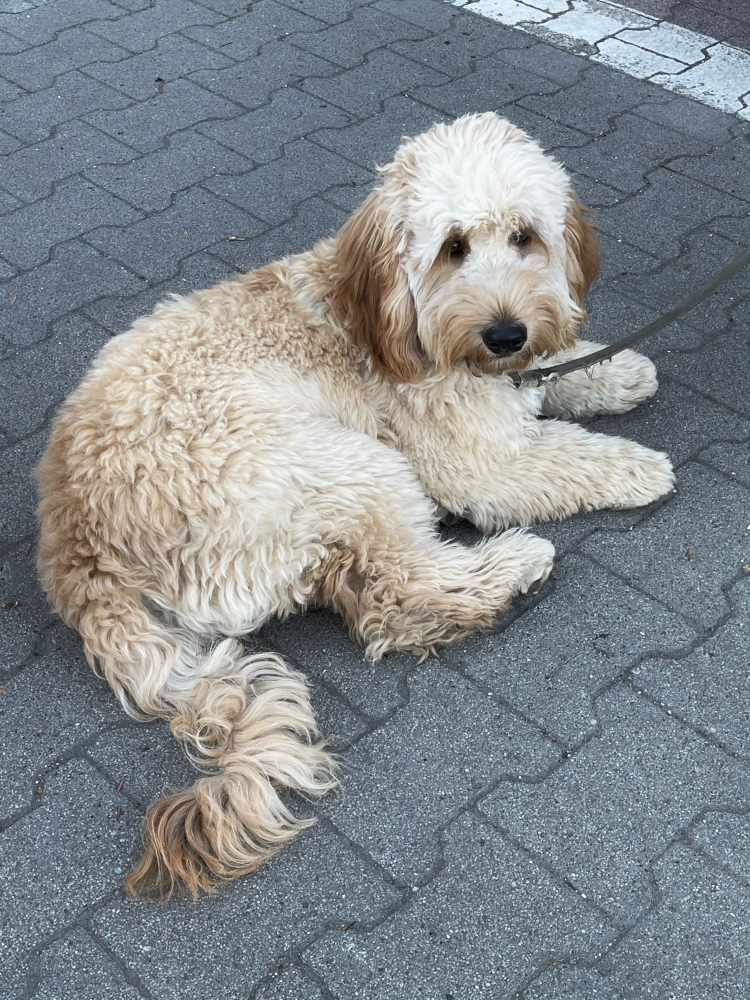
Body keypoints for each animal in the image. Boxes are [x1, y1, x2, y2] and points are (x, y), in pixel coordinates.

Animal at [36, 112, 673, 900]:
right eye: (453, 248)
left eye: (525, 235)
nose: (506, 335)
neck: (400, 321)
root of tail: (79, 547)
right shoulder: (479, 462)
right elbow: (566, 458)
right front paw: (639, 466)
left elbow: (562, 374)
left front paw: (618, 368)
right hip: (341, 463)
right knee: (394, 594)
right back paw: (510, 564)